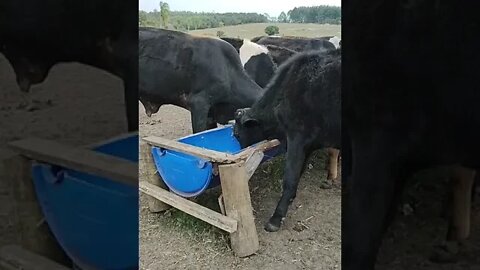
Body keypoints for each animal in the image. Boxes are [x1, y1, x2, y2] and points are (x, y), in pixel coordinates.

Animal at [233, 48, 340, 232]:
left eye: (237, 134)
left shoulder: (297, 139)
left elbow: (290, 179)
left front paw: (276, 218)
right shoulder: (307, 146)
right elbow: (298, 174)